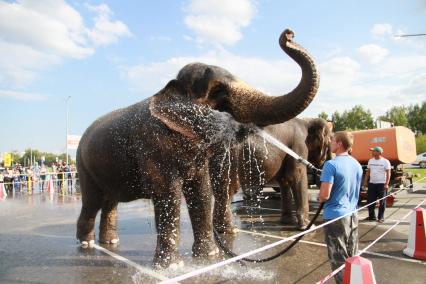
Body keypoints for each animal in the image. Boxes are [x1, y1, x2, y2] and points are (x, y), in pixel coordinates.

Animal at [75, 29, 318, 268]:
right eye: (218, 91)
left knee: (109, 201)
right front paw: (172, 267)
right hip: (83, 167)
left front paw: (208, 256)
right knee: (93, 201)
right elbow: (168, 192)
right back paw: (86, 244)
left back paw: (110, 242)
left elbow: (201, 190)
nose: (288, 34)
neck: (169, 89)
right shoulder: (152, 143)